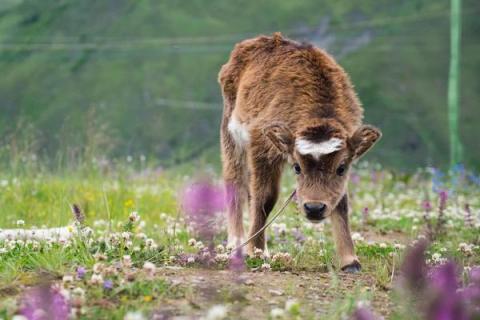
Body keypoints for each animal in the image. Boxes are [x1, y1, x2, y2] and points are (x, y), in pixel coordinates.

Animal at [219, 33, 380, 272]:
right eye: (297, 167)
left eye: (341, 168)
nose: (314, 208)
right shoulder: (261, 146)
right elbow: (265, 198)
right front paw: (256, 251)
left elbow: (341, 203)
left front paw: (350, 260)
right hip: (231, 135)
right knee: (236, 182)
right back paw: (237, 241)